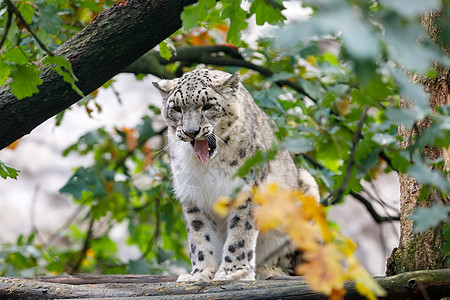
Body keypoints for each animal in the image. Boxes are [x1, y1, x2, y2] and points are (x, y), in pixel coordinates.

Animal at [153, 68, 318, 282]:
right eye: (177, 108)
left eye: (207, 105)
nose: (191, 132)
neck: (206, 167)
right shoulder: (193, 194)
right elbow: (199, 235)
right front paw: (200, 273)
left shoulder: (247, 189)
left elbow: (240, 231)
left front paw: (233, 272)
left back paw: (269, 270)